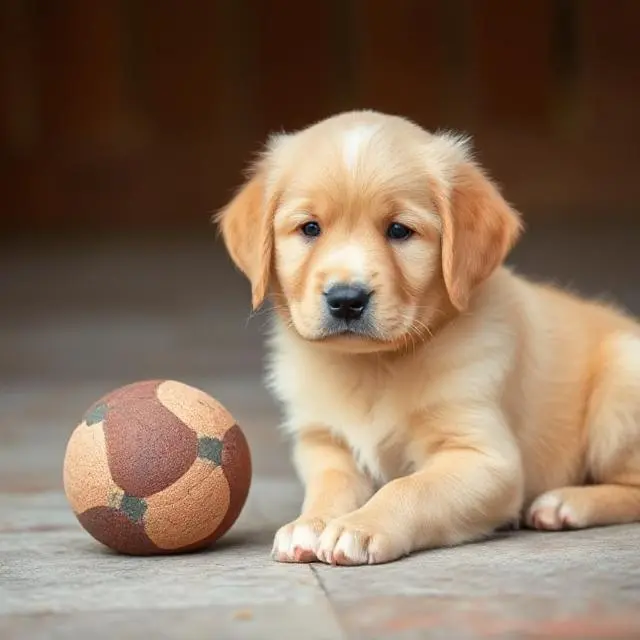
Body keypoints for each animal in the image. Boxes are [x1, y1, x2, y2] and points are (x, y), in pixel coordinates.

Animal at [218, 110, 640, 564]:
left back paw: (565, 503)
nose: (346, 299)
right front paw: (310, 524)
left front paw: (358, 527)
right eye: (310, 228)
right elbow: (331, 485)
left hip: (621, 380)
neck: (374, 365)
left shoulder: (484, 458)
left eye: (399, 231)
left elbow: (409, 487)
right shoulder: (324, 443)